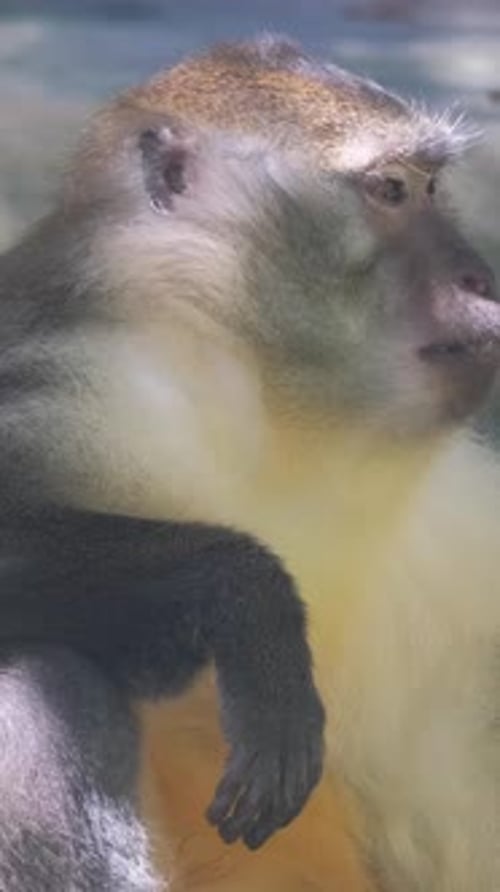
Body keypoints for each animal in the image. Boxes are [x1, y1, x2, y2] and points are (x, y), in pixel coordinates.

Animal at [0, 32, 500, 892]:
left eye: (433, 187)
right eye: (392, 190)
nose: (479, 276)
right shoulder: (76, 379)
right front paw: (248, 603)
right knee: (36, 691)